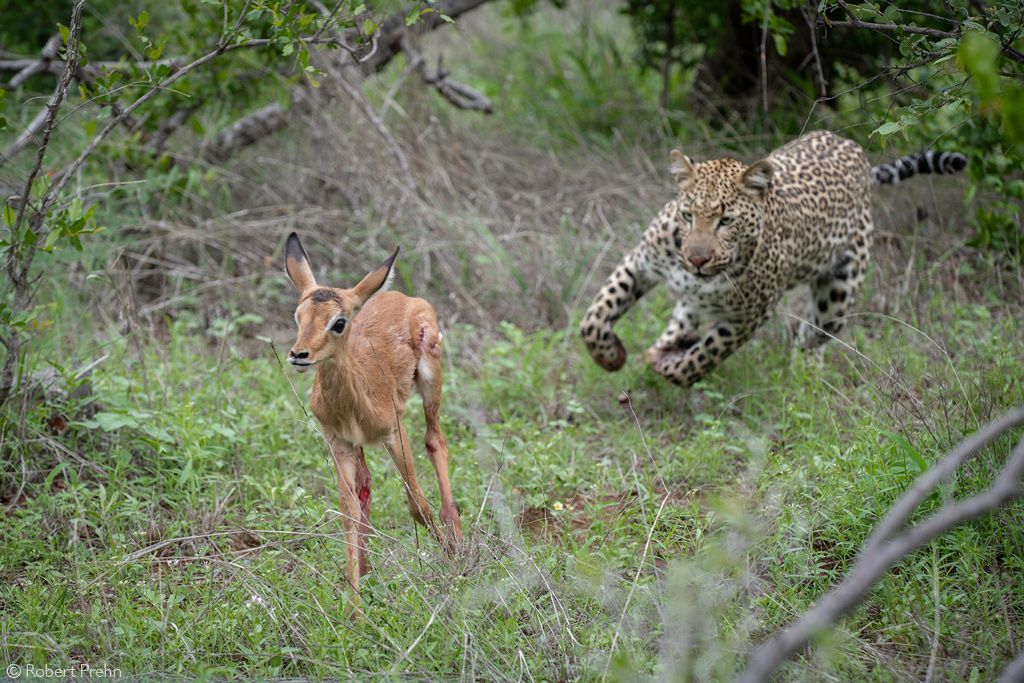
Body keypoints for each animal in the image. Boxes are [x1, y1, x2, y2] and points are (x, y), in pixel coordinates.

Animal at [585, 127, 966, 385]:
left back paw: (805, 379)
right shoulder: (640, 262)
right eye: (688, 215)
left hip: (838, 294)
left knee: (813, 338)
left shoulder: (749, 315)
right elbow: (594, 319)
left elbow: (701, 358)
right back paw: (665, 345)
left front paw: (672, 367)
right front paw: (611, 357)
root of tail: (856, 150)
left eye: (726, 221)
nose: (696, 260)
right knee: (684, 314)